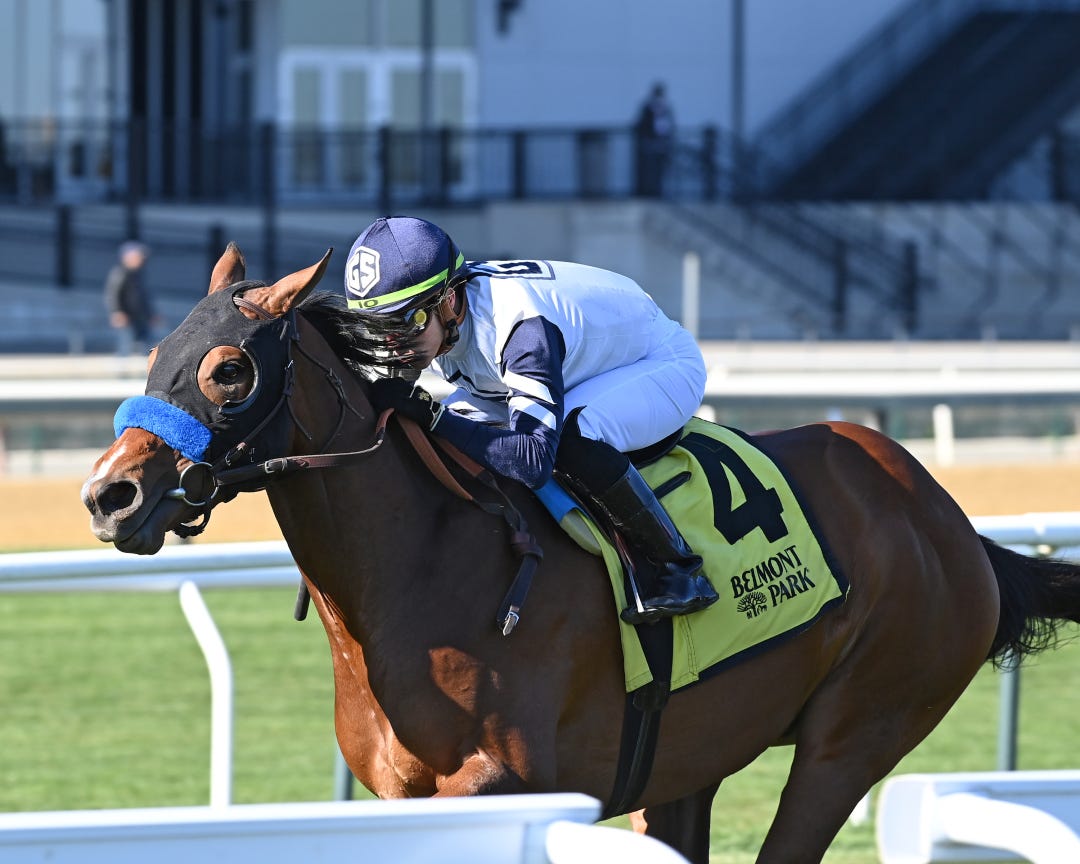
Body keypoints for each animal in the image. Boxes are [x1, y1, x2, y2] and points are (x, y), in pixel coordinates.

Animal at [81, 244, 1080, 863]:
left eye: (228, 371)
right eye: (154, 352)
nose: (107, 494)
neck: (421, 570)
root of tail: (946, 519)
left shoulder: (505, 787)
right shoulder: (402, 798)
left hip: (856, 734)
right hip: (689, 757)